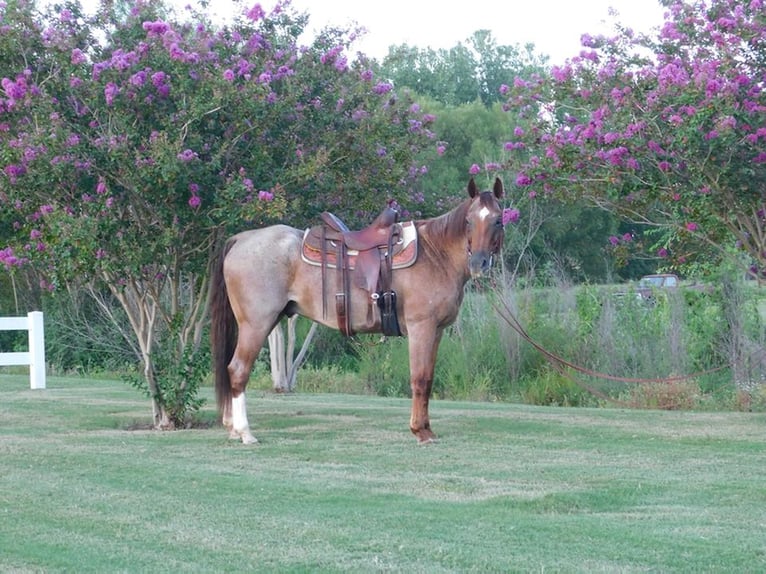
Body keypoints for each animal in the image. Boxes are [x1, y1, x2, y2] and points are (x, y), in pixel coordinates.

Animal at [208, 178, 504, 448]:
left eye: (498, 220)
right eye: (469, 221)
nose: (479, 263)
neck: (435, 254)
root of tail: (240, 239)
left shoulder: (436, 331)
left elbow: (428, 378)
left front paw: (427, 429)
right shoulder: (421, 327)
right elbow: (419, 379)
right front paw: (419, 431)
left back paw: (234, 428)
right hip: (256, 324)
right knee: (238, 370)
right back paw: (245, 432)